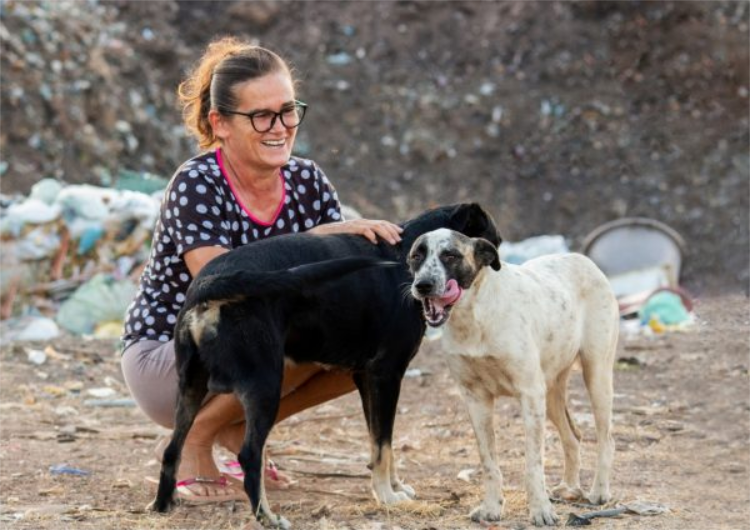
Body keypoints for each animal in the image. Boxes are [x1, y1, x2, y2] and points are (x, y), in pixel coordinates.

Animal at [153, 201, 502, 524]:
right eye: (493, 240)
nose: (424, 287)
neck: (406, 258)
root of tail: (210, 282)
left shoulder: (366, 379)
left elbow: (380, 442)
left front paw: (394, 488)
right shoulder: (387, 374)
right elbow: (384, 444)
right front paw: (388, 497)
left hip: (190, 387)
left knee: (172, 448)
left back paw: (162, 505)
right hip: (265, 385)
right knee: (249, 455)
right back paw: (267, 517)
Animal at [408, 227, 620, 524]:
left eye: (450, 255)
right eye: (416, 256)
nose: (423, 285)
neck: (474, 317)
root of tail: (582, 258)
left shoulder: (529, 394)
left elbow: (533, 464)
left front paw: (541, 510)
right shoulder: (476, 399)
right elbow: (488, 462)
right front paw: (492, 507)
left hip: (596, 375)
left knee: (606, 439)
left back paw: (599, 491)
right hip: (550, 392)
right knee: (573, 437)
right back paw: (569, 488)